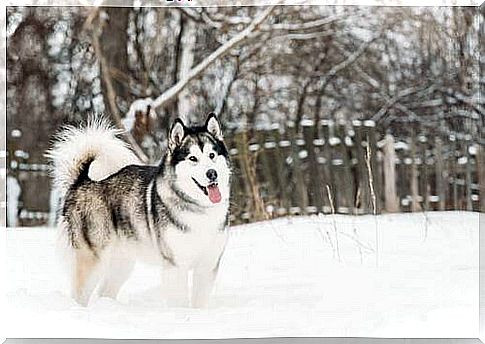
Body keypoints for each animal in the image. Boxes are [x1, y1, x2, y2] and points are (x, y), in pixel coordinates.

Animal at [46, 114, 232, 308]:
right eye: (193, 158)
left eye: (212, 155)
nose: (212, 173)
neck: (200, 209)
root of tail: (81, 181)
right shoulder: (175, 265)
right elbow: (179, 301)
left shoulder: (208, 265)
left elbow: (200, 301)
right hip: (93, 259)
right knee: (79, 294)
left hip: (122, 262)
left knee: (105, 291)